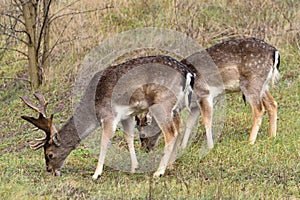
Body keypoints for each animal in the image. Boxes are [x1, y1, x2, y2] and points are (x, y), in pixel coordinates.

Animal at [20, 55, 204, 179]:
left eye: (50, 154)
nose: (50, 170)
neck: (93, 107)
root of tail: (188, 74)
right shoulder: (127, 116)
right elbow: (129, 138)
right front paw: (134, 167)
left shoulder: (109, 115)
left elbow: (104, 142)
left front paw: (96, 174)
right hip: (175, 107)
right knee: (179, 129)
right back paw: (170, 165)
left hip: (162, 104)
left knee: (171, 133)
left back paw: (159, 172)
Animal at [137, 37, 280, 151]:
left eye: (142, 134)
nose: (145, 149)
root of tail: (274, 52)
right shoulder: (195, 105)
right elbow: (189, 123)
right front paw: (183, 147)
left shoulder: (205, 94)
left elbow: (207, 121)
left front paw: (210, 147)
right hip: (263, 85)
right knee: (272, 103)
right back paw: (272, 136)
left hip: (251, 83)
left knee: (259, 109)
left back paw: (250, 142)